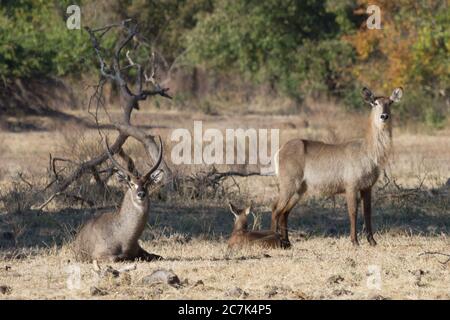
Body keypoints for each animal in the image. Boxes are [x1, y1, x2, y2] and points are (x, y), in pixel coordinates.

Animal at [270, 87, 404, 248]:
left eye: (390, 103)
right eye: (374, 103)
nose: (384, 116)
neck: (368, 151)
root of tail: (280, 150)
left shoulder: (367, 187)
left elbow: (368, 212)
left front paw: (372, 241)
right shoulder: (351, 185)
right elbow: (353, 212)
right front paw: (354, 241)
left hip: (299, 189)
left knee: (284, 212)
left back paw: (287, 243)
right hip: (288, 184)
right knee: (275, 209)